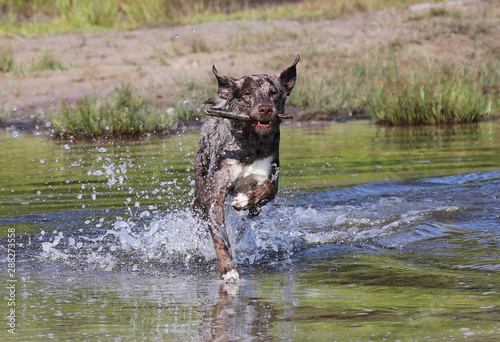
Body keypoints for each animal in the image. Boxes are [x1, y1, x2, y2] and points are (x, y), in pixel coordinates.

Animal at [193, 56, 298, 280]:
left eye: (274, 92)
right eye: (248, 92)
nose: (265, 109)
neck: (251, 144)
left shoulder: (270, 173)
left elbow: (269, 188)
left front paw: (245, 199)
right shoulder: (216, 192)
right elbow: (220, 237)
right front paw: (228, 269)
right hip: (200, 189)